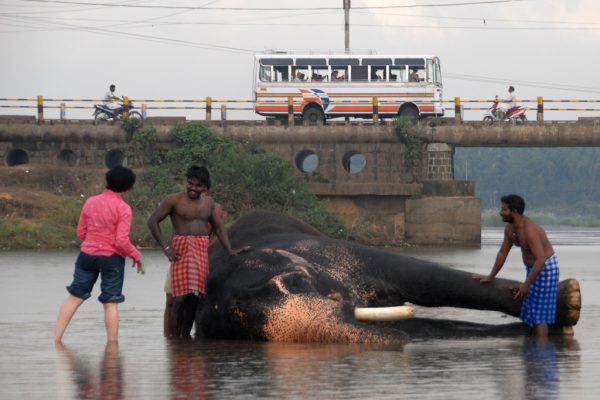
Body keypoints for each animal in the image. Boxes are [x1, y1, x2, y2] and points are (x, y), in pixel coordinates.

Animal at [195, 209, 580, 344]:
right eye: (247, 328)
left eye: (296, 282)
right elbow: (425, 327)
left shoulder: (339, 253)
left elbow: (422, 276)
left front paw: (570, 299)